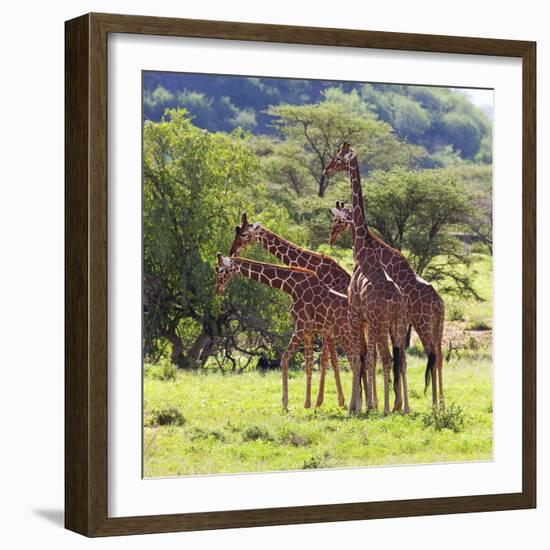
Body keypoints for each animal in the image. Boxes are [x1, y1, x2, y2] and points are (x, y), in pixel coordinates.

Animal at [324, 144, 410, 416]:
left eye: (338, 158)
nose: (326, 169)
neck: (362, 251)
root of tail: (396, 302)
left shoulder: (355, 313)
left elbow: (358, 357)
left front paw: (356, 406)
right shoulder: (367, 320)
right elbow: (366, 358)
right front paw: (366, 404)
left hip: (381, 324)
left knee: (386, 358)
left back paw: (385, 409)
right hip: (398, 324)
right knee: (401, 360)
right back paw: (404, 408)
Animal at [330, 196, 446, 408]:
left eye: (336, 219)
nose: (331, 237)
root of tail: (439, 304)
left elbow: (380, 357)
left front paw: (382, 403)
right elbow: (392, 358)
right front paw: (391, 403)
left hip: (423, 324)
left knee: (431, 355)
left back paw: (434, 404)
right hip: (437, 326)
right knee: (439, 357)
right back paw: (441, 403)